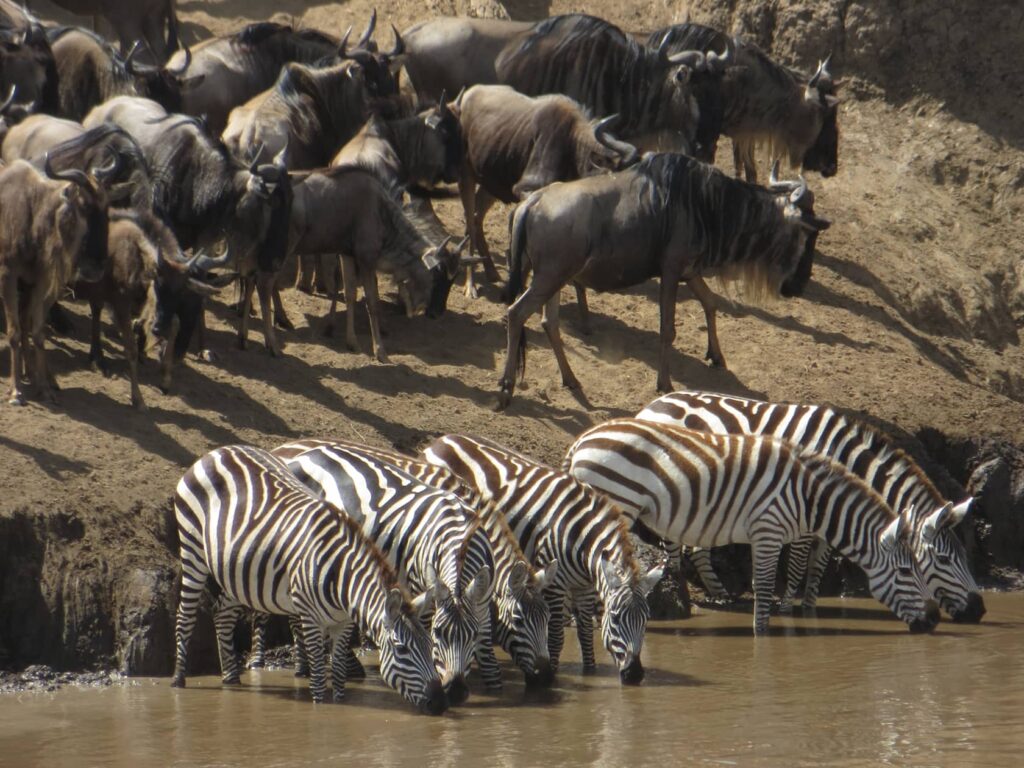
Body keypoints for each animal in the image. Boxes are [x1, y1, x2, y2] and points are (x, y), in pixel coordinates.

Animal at [171, 445, 448, 713]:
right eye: (402, 649)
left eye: (429, 644)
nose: (439, 703)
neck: (341, 580)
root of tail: (217, 452)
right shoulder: (310, 618)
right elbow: (317, 679)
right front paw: (319, 710)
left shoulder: (344, 623)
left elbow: (338, 675)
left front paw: (339, 703)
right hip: (192, 547)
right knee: (185, 616)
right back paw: (178, 680)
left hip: (238, 572)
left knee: (223, 613)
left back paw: (231, 678)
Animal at [275, 438, 559, 688]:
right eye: (518, 620)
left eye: (547, 618)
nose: (546, 678)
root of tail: (302, 453)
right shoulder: (422, 589)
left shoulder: (481, 596)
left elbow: (486, 647)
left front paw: (493, 686)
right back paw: (307, 668)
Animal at [422, 434, 664, 685]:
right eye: (615, 619)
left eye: (646, 620)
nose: (635, 675)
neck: (581, 538)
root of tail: (443, 439)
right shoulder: (555, 584)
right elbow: (556, 634)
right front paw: (554, 672)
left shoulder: (584, 586)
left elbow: (586, 632)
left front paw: (590, 672)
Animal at [563, 419, 941, 635]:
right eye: (907, 572)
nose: (935, 620)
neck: (810, 498)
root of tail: (582, 439)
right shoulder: (768, 531)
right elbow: (766, 589)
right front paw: (763, 640)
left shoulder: (771, 536)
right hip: (617, 502)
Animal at [636, 390, 984, 622]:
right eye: (943, 560)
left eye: (965, 557)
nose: (979, 610)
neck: (839, 455)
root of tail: (651, 406)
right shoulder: (803, 507)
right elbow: (798, 564)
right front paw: (787, 608)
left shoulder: (831, 509)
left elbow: (818, 564)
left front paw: (809, 607)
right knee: (672, 542)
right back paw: (682, 589)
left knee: (697, 546)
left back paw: (720, 594)